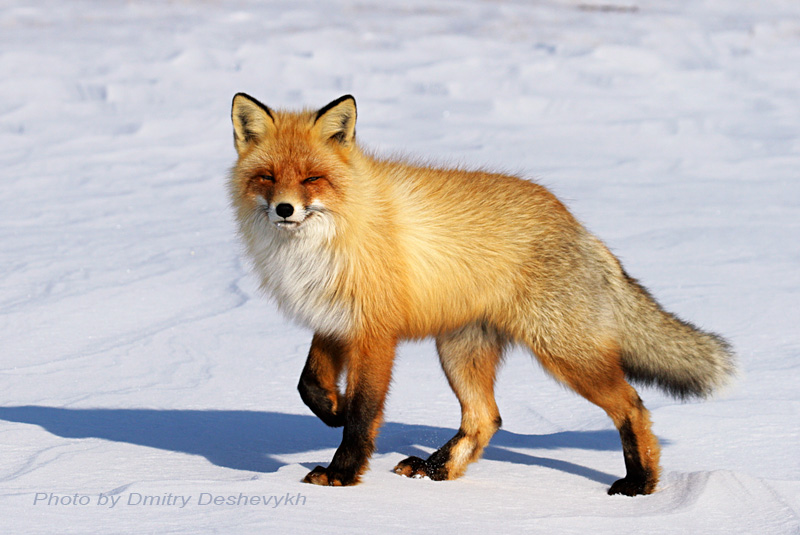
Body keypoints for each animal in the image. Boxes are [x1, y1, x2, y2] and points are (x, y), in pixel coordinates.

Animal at [228, 93, 736, 498]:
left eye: (312, 178)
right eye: (267, 177)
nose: (285, 209)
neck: (325, 240)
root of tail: (578, 225)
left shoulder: (374, 334)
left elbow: (362, 413)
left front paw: (342, 474)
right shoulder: (334, 319)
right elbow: (309, 385)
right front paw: (331, 410)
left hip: (565, 356)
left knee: (632, 405)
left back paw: (641, 483)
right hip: (460, 352)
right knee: (485, 418)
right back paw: (436, 469)